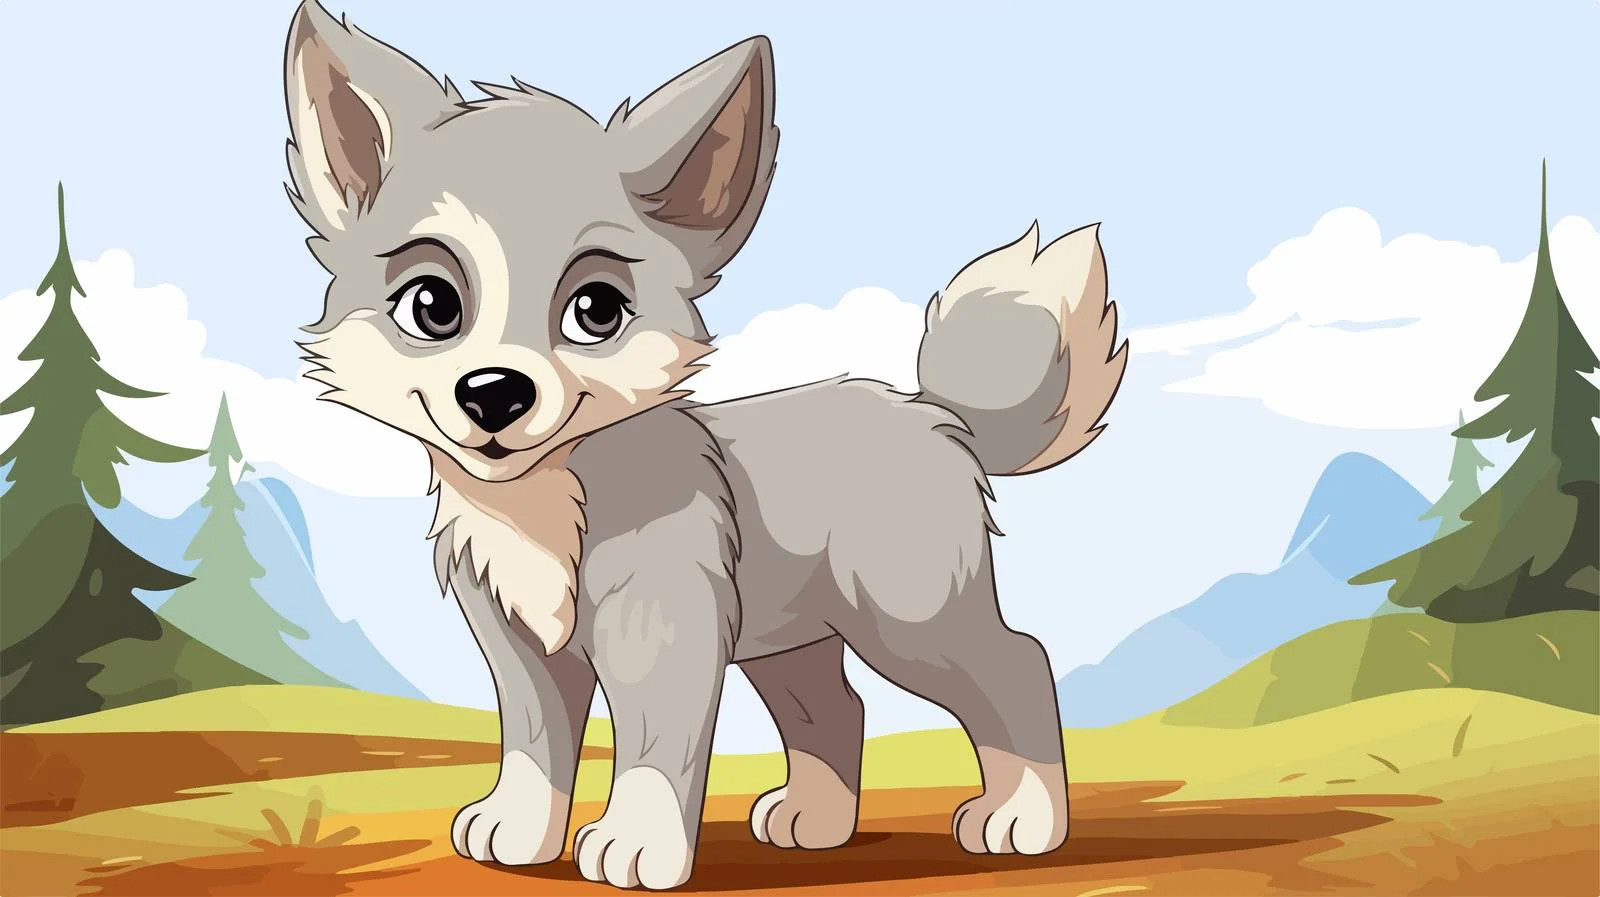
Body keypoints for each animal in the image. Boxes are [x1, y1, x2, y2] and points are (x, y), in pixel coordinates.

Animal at [282, 1, 1127, 889]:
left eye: (596, 310)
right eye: (431, 305)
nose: (494, 393)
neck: (546, 503)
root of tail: (935, 411)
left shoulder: (664, 631)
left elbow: (656, 752)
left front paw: (637, 844)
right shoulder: (524, 649)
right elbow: (534, 746)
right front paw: (518, 829)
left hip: (909, 621)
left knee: (1018, 663)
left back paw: (1022, 817)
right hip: (793, 638)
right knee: (839, 708)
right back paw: (814, 819)